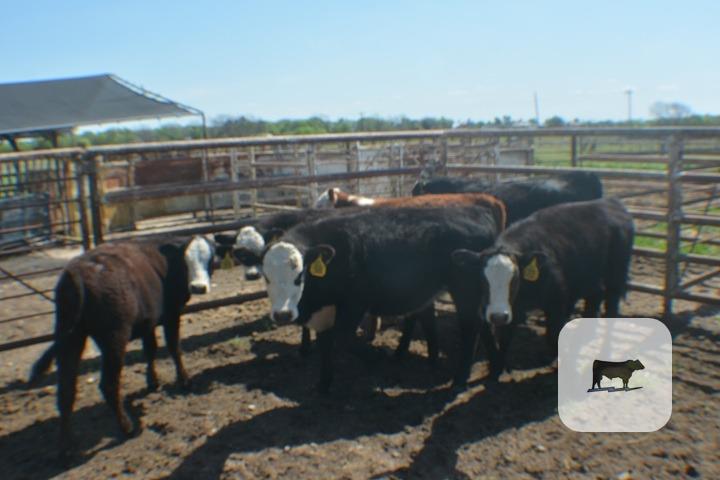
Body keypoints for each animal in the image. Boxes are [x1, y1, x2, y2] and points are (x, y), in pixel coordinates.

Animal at [28, 236, 217, 458]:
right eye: (187, 261)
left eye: (211, 258)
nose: (198, 287)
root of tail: (77, 272)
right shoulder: (172, 314)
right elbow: (173, 346)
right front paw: (184, 380)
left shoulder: (147, 321)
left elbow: (150, 349)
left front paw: (153, 382)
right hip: (114, 337)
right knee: (108, 385)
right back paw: (128, 427)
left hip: (69, 336)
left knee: (66, 390)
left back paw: (66, 446)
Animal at [261, 194, 506, 392]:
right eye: (266, 276)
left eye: (300, 275)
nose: (282, 314)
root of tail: (479, 209)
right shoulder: (324, 312)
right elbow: (325, 344)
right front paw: (323, 384)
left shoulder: (354, 303)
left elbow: (342, 338)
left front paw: (376, 356)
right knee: (482, 323)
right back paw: (494, 368)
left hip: (464, 287)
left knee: (470, 327)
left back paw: (460, 379)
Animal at [451, 197, 634, 380]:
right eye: (483, 279)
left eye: (515, 278)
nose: (498, 316)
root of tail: (611, 202)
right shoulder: (514, 307)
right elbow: (505, 337)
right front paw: (498, 370)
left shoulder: (556, 300)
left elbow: (553, 335)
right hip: (590, 277)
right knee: (595, 297)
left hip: (616, 276)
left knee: (611, 310)